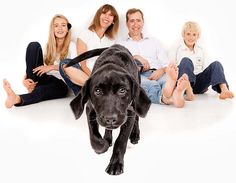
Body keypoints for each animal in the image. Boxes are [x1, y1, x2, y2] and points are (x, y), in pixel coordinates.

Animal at [66, 44, 151, 176]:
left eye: (122, 90)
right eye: (97, 91)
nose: (110, 119)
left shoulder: (129, 114)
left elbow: (121, 141)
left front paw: (115, 164)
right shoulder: (90, 110)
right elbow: (94, 137)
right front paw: (102, 145)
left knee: (137, 118)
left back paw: (135, 134)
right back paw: (107, 138)